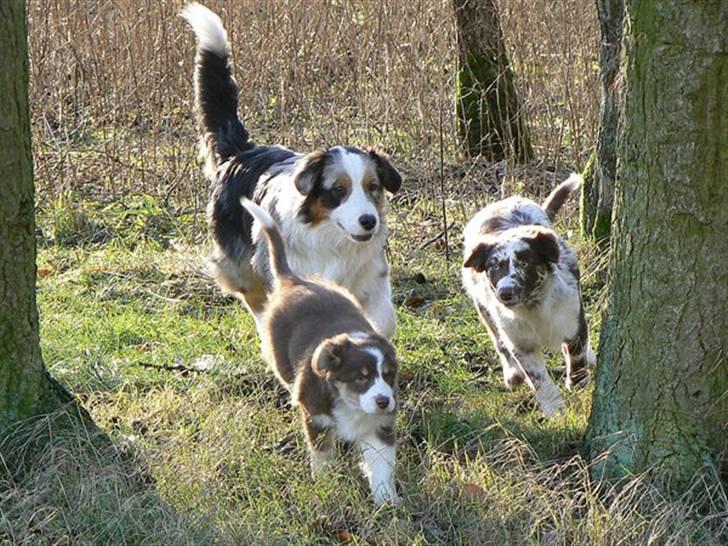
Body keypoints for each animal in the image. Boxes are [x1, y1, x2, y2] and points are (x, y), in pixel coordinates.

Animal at [180, 3, 400, 336]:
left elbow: (384, 319)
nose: (368, 222)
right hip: (243, 262)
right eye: (339, 190)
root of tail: (244, 151)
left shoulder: (370, 275)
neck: (331, 241)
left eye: (372, 187)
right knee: (255, 298)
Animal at [239, 198, 398, 504]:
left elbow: (381, 465)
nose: (384, 401)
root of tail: (293, 279)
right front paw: (326, 485)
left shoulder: (379, 426)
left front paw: (387, 501)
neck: (350, 404)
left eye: (387, 375)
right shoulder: (318, 418)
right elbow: (322, 456)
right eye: (360, 377)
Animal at [464, 174, 596, 416]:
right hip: (483, 307)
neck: (534, 308)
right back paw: (512, 374)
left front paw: (576, 382)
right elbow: (538, 379)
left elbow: (577, 354)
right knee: (498, 341)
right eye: (494, 267)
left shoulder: (574, 320)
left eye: (524, 263)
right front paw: (555, 410)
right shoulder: (521, 344)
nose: (505, 292)